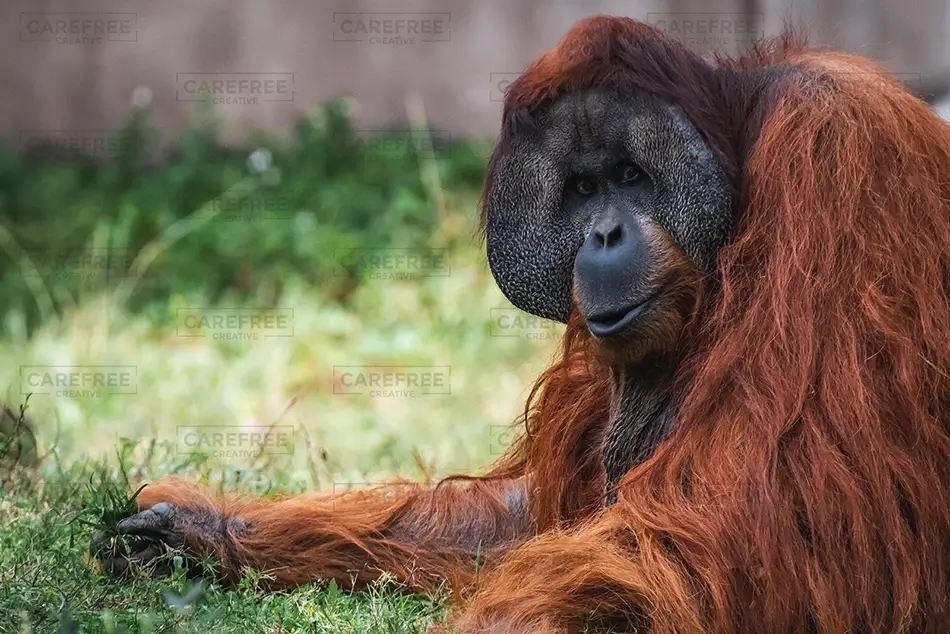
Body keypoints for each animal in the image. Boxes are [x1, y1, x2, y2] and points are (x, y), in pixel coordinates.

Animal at [93, 15, 950, 633]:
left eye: (632, 175)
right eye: (581, 190)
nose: (602, 233)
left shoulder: (834, 159)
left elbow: (750, 518)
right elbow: (537, 518)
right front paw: (196, 529)